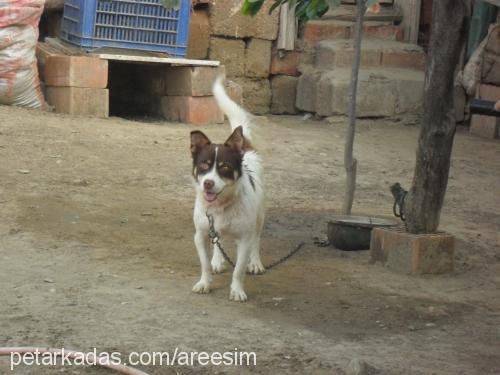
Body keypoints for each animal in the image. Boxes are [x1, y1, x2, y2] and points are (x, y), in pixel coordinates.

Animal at [189, 77, 266, 302]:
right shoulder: (200, 235)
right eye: (204, 165)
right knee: (218, 240)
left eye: (224, 167)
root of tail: (245, 148)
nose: (208, 183)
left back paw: (255, 262)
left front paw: (237, 290)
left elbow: (238, 269)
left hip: (260, 217)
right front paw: (205, 282)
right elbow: (204, 264)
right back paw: (217, 260)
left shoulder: (244, 240)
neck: (221, 206)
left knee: (257, 239)